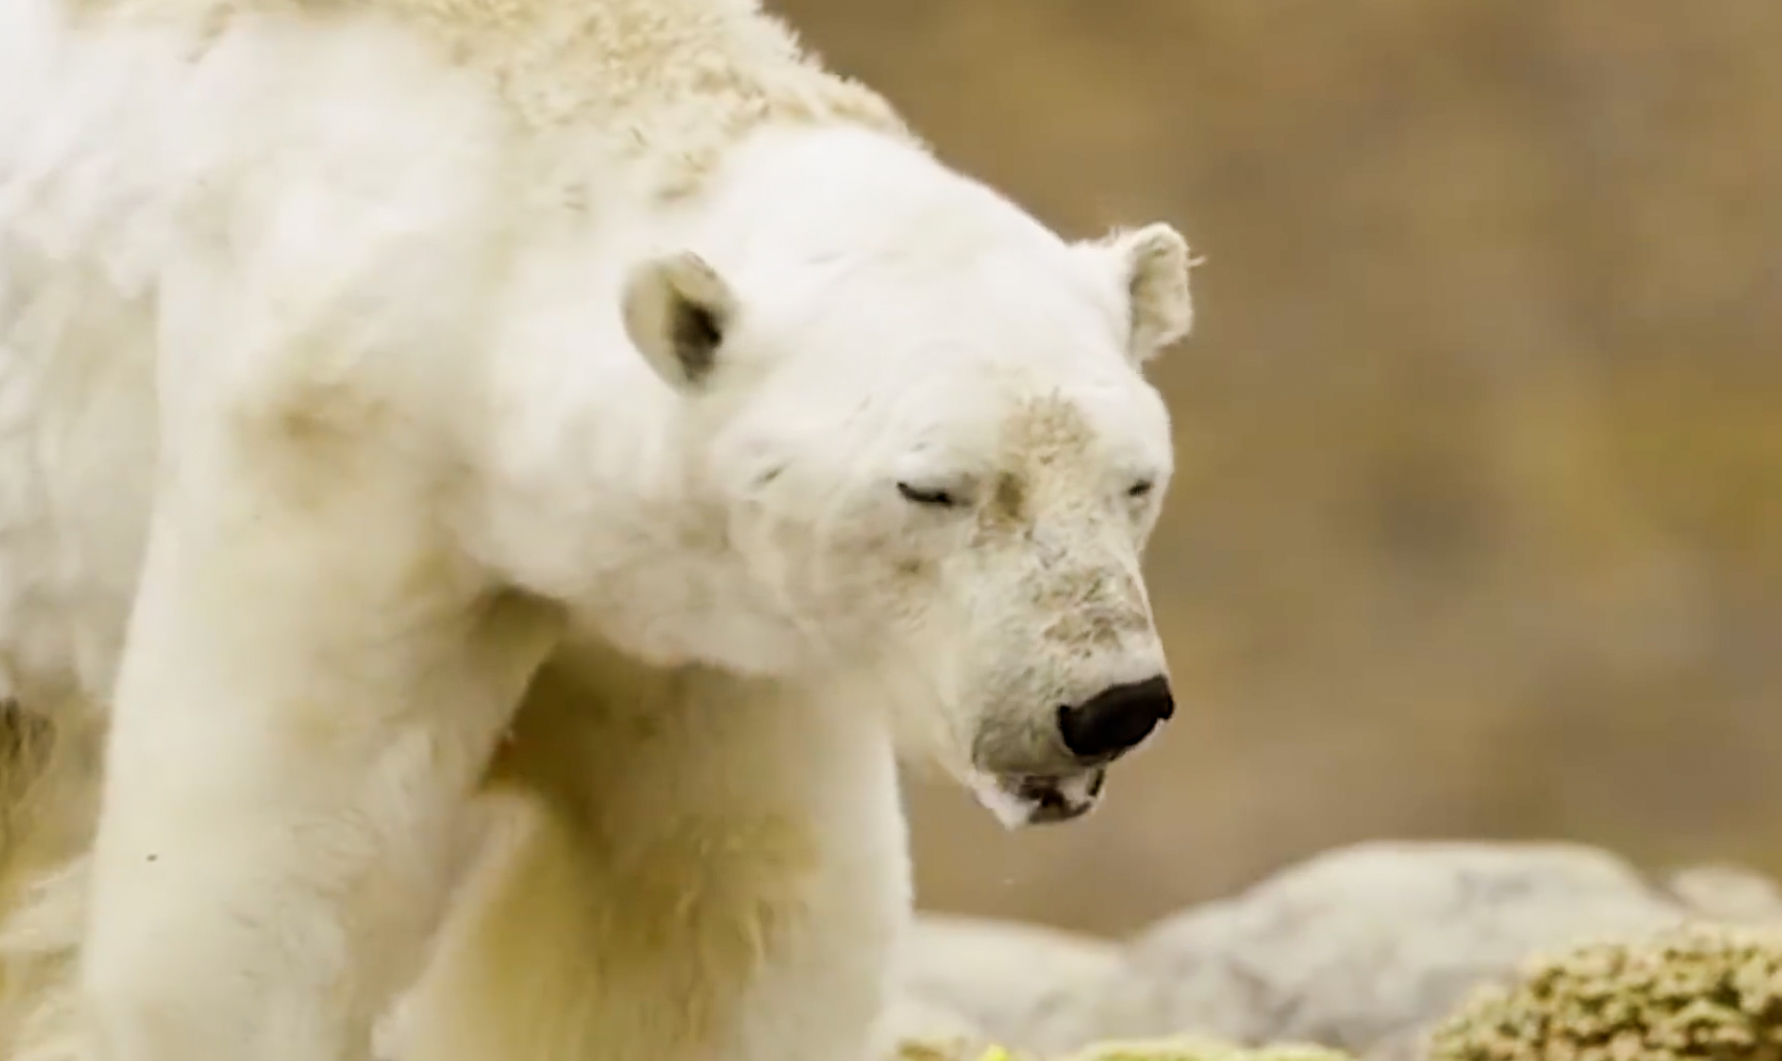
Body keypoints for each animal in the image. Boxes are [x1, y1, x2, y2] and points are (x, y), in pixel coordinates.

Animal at [0, 0, 1197, 1055]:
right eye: (933, 488)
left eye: (1136, 481)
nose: (1109, 703)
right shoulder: (336, 465)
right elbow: (265, 892)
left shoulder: (696, 627)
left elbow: (715, 909)